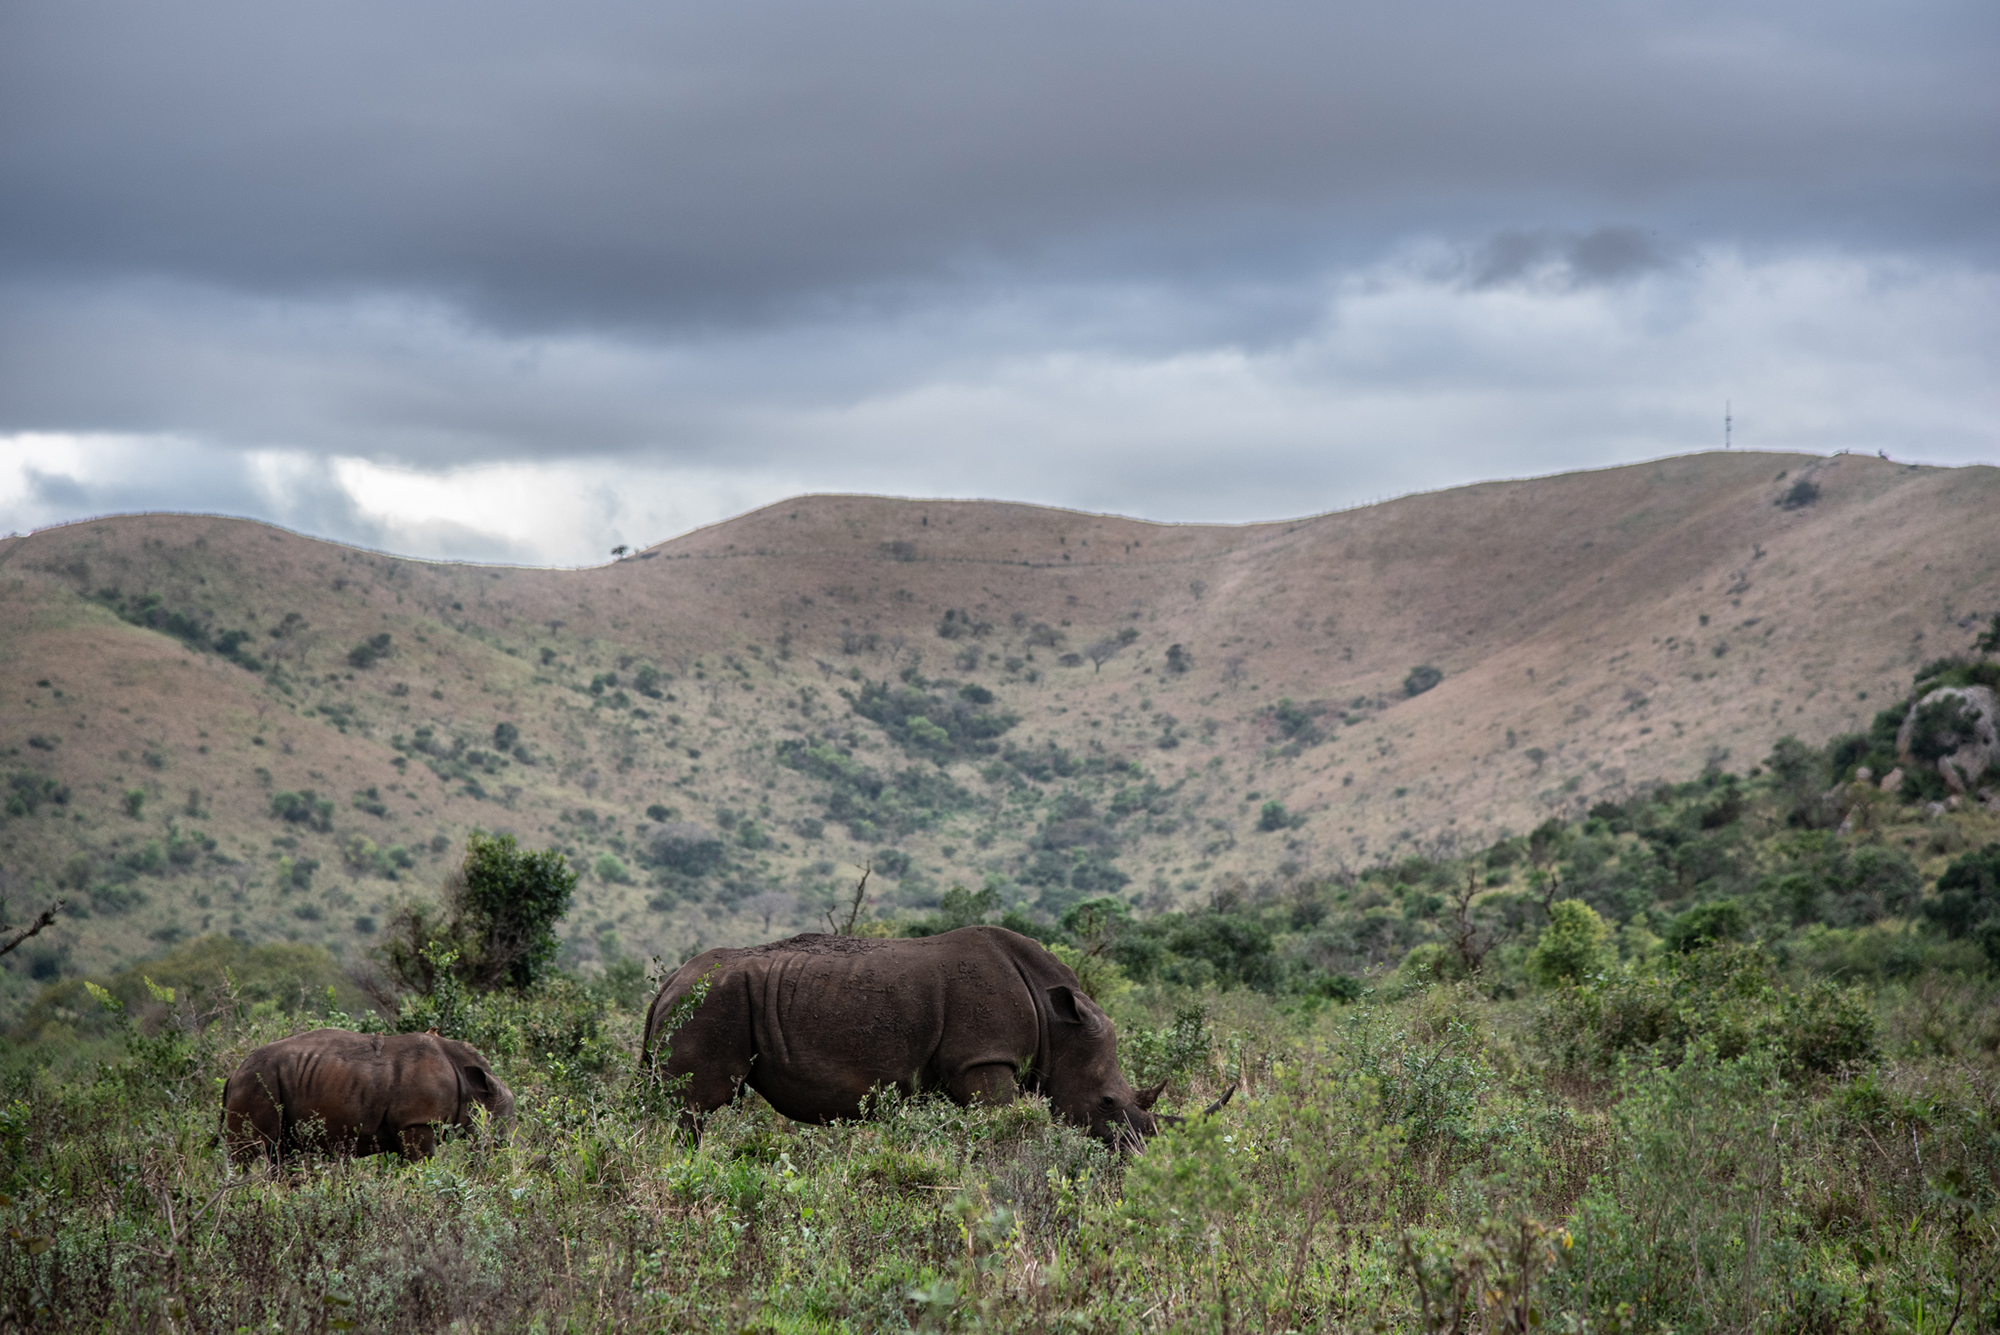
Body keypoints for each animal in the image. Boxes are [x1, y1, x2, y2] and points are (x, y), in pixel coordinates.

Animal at [221, 1028, 514, 1165]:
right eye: (499, 1134)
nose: (506, 1160)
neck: (471, 1084)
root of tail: (233, 1074)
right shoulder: (418, 1122)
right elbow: (424, 1164)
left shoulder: (402, 1129)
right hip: (256, 1081)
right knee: (249, 1153)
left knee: (281, 1154)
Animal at [641, 925, 1229, 1147]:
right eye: (1107, 1101)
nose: (1138, 1152)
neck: (1053, 1018)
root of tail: (669, 982)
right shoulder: (985, 1060)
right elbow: (1003, 1128)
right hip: (709, 1005)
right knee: (693, 1106)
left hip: (701, 1002)